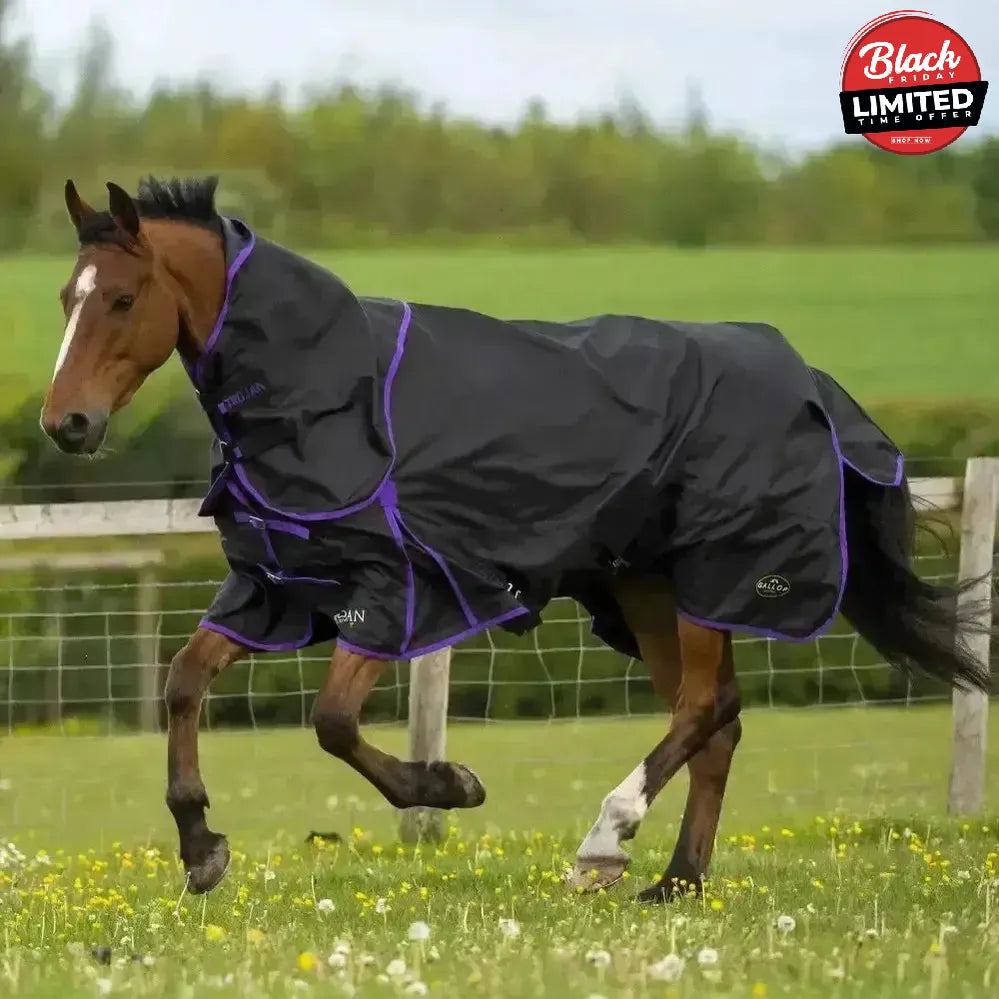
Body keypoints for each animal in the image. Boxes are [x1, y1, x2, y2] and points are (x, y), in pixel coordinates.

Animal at [41, 176, 989, 902]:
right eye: (65, 298)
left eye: (122, 298)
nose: (65, 424)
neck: (324, 393)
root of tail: (809, 379)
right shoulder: (275, 588)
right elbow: (182, 682)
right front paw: (201, 846)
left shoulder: (395, 590)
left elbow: (333, 723)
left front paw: (450, 785)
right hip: (649, 588)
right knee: (716, 720)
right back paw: (674, 880)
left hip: (714, 579)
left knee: (701, 708)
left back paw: (605, 841)